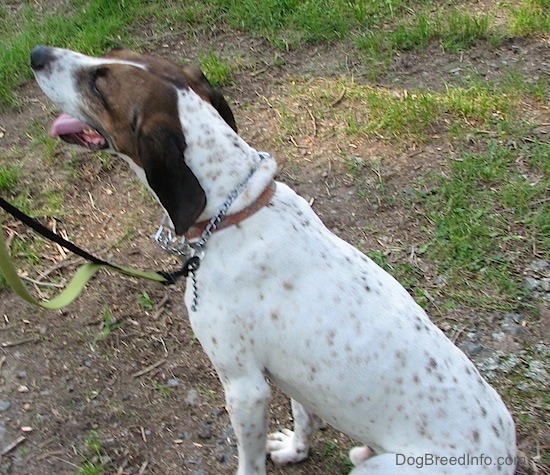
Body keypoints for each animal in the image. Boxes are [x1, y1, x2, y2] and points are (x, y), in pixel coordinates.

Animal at [32, 45, 520, 475]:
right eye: (113, 54)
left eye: (99, 83)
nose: (36, 54)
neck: (234, 209)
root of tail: (505, 458)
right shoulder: (293, 378)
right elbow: (304, 417)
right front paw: (296, 449)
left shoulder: (245, 388)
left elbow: (248, 463)